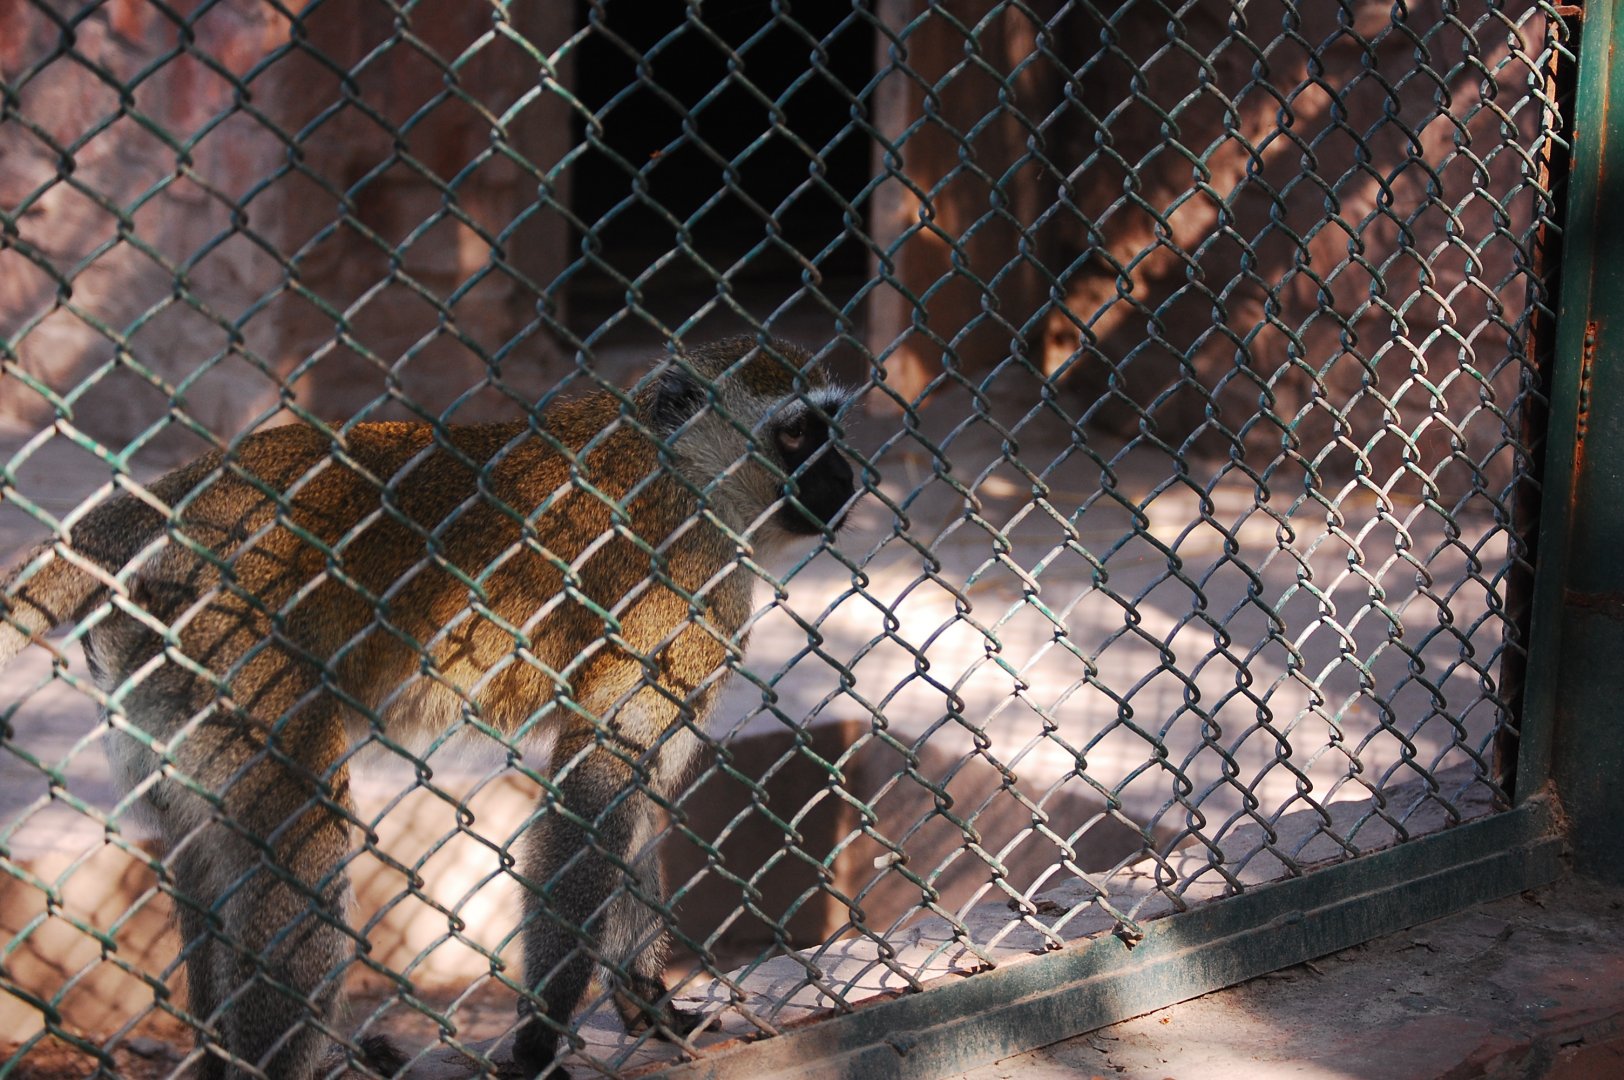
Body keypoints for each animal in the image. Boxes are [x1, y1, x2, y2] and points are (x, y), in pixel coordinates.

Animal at [0, 337, 855, 1078]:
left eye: (830, 427)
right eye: (796, 433)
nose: (844, 477)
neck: (681, 470)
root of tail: (173, 497)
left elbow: (631, 799)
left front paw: (648, 1002)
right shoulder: (680, 593)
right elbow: (597, 790)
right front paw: (538, 1039)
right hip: (235, 650)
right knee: (303, 847)